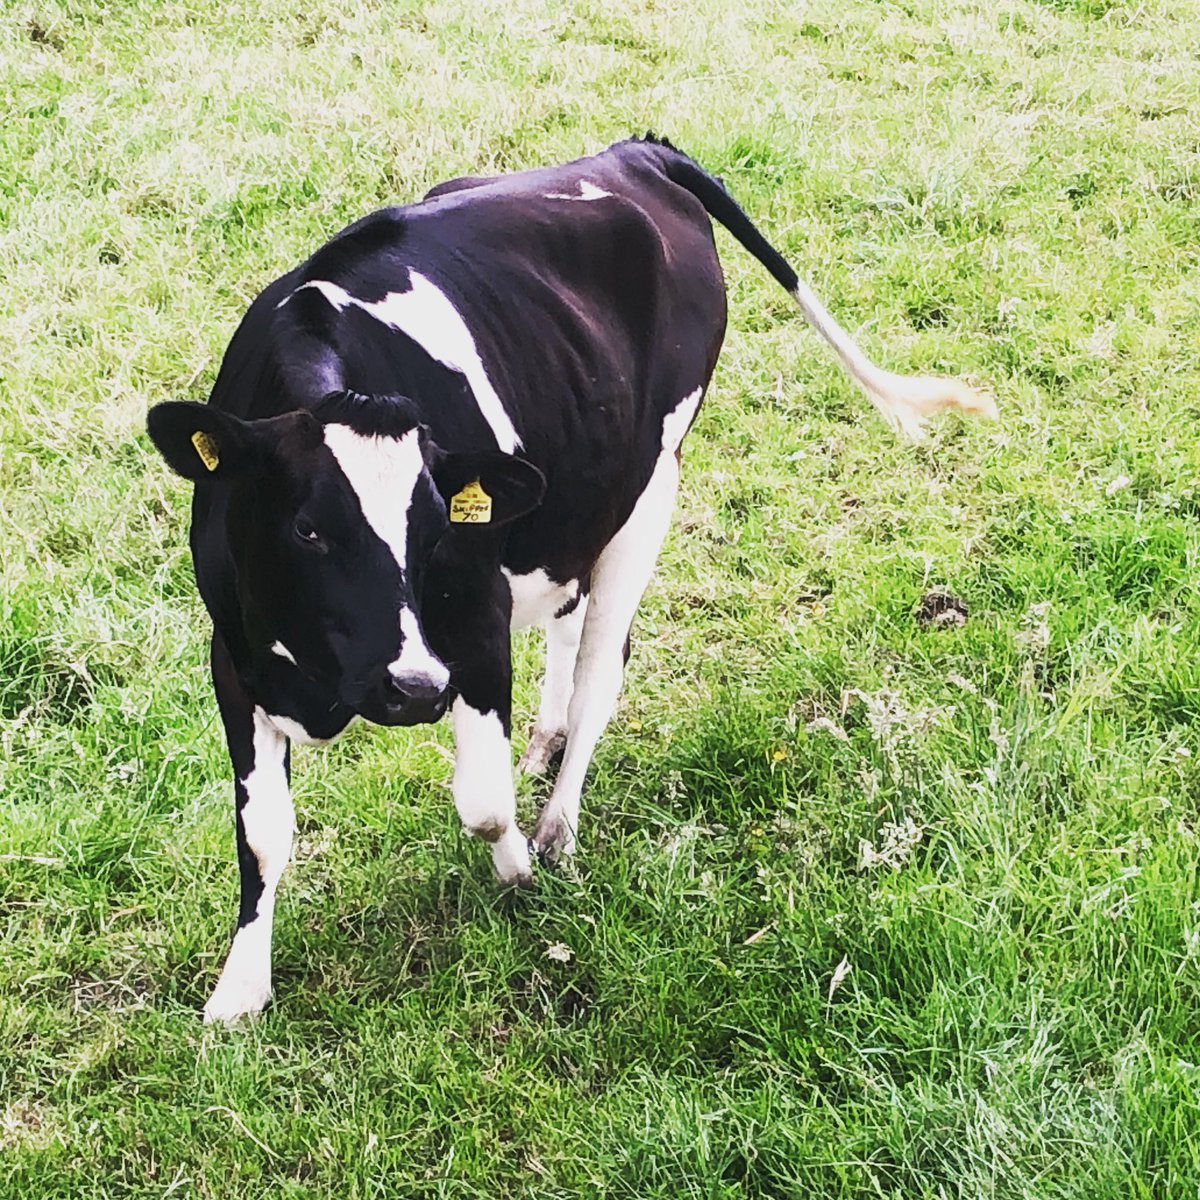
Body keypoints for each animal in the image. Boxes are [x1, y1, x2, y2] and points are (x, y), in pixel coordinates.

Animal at [147, 135, 993, 1023]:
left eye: (435, 533)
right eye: (308, 528)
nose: (414, 689)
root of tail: (635, 154)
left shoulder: (474, 626)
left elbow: (482, 804)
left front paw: (520, 867)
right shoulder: (232, 652)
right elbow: (261, 835)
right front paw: (240, 990)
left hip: (651, 486)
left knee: (598, 678)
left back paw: (558, 824)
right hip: (576, 493)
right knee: (567, 607)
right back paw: (544, 742)